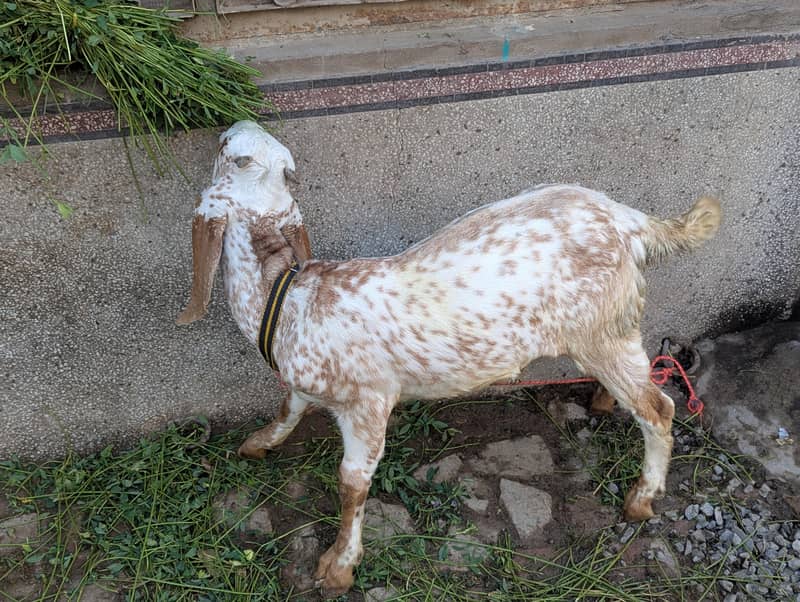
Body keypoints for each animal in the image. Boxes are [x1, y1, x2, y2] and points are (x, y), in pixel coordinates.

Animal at [177, 120, 721, 596]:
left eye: (231, 152)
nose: (231, 126)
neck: (288, 298)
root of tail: (629, 221)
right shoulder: (305, 383)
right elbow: (288, 406)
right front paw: (257, 444)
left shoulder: (368, 403)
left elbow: (352, 484)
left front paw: (337, 567)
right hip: (607, 327)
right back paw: (605, 403)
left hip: (601, 328)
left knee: (659, 408)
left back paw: (640, 499)